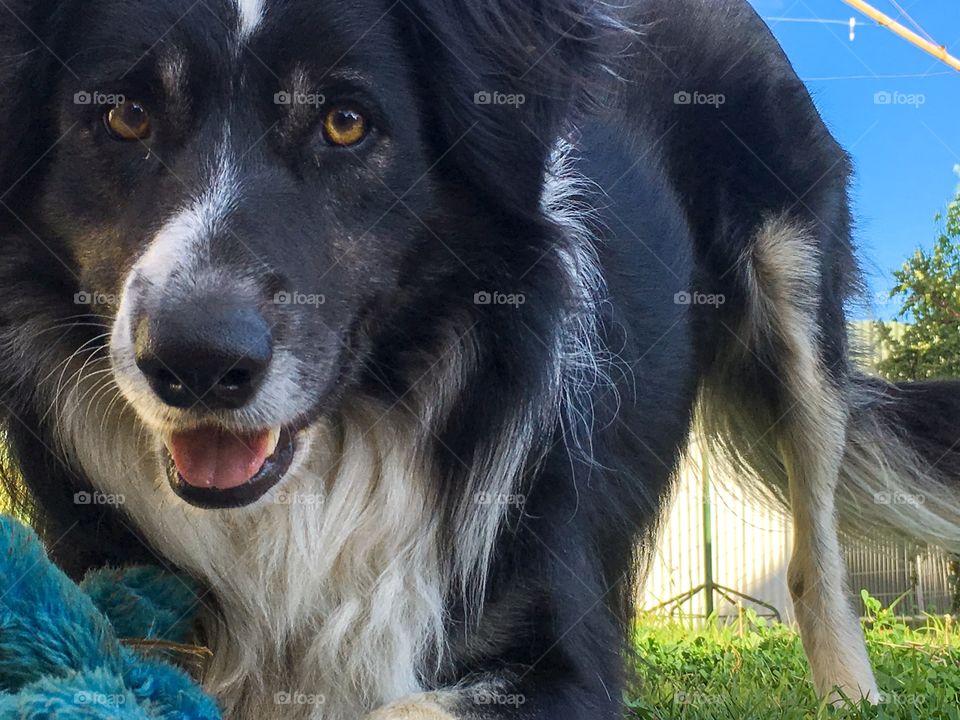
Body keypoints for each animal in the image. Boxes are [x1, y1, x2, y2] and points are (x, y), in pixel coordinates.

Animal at [1, 0, 960, 716]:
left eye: (346, 123)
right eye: (125, 115)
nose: (196, 363)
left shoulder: (557, 658)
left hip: (794, 280)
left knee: (816, 550)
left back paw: (849, 693)